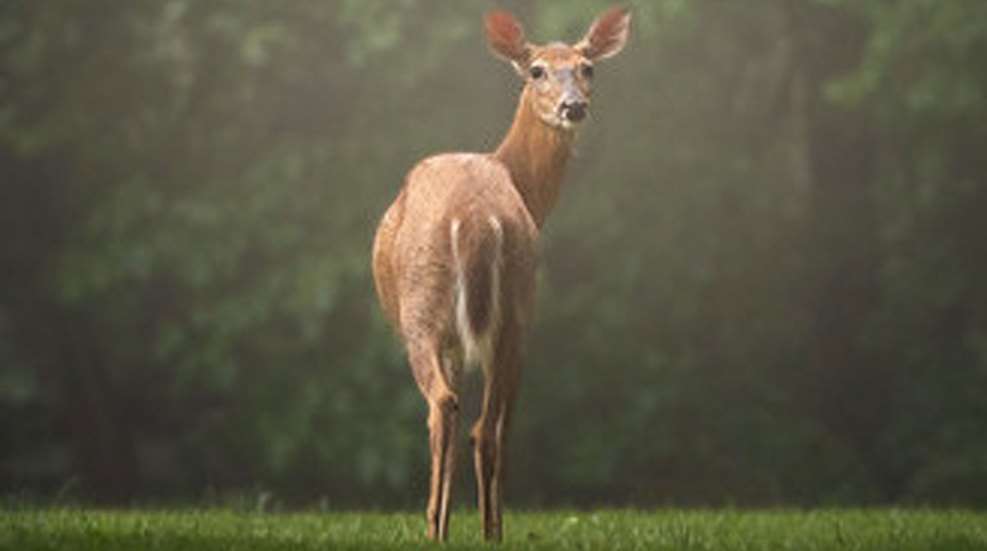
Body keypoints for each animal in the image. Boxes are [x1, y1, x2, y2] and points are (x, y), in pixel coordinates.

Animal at [371, 6, 630, 543]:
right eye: (537, 70)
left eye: (587, 68)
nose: (574, 106)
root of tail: (473, 218)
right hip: (511, 308)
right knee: (480, 424)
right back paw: (480, 530)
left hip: (430, 309)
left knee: (450, 410)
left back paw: (444, 529)